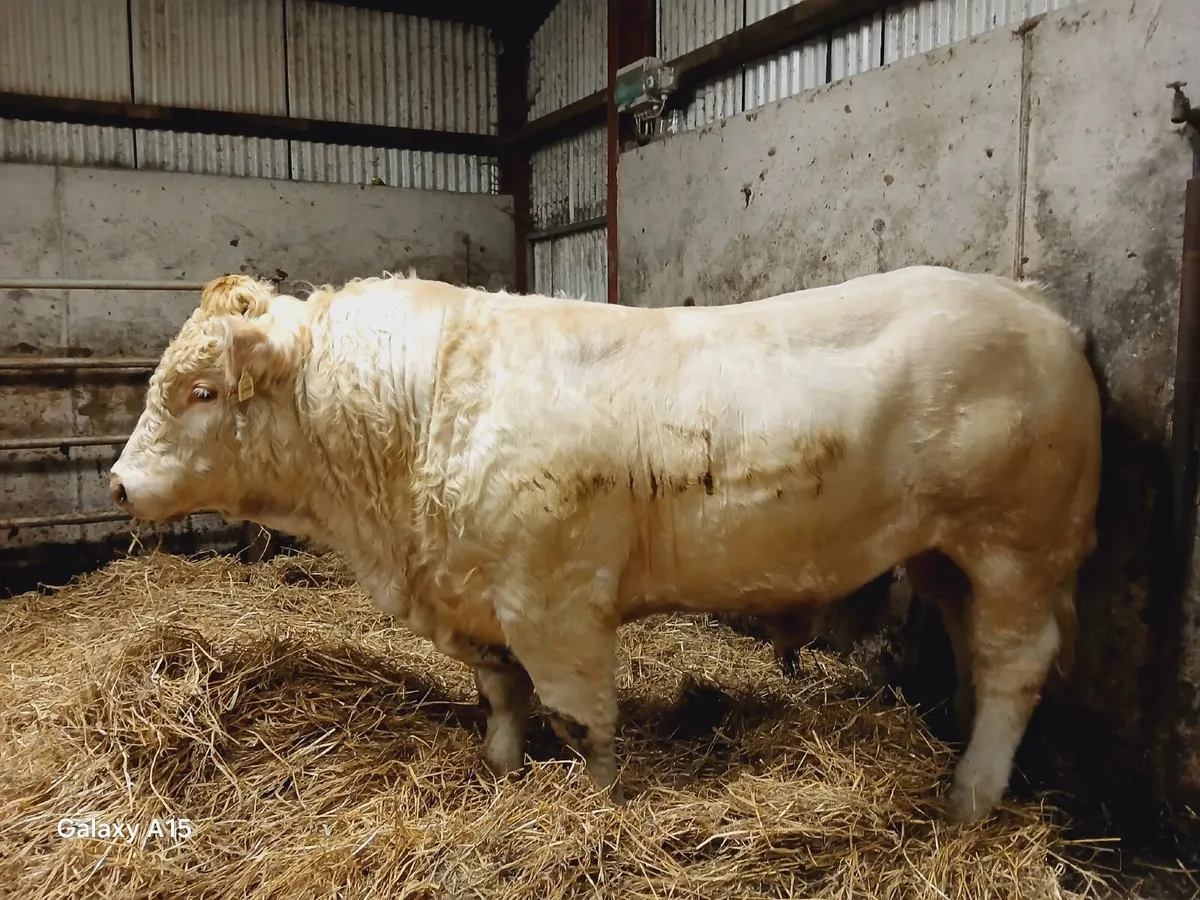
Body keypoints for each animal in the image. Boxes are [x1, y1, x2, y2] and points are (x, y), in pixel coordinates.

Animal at [108, 266, 1101, 823]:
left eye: (200, 391)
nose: (118, 483)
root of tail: (1037, 307)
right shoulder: (480, 599)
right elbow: (503, 697)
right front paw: (500, 772)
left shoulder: (557, 604)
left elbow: (583, 719)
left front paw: (598, 804)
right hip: (948, 559)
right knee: (976, 656)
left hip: (1018, 548)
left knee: (1013, 669)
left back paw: (971, 797)